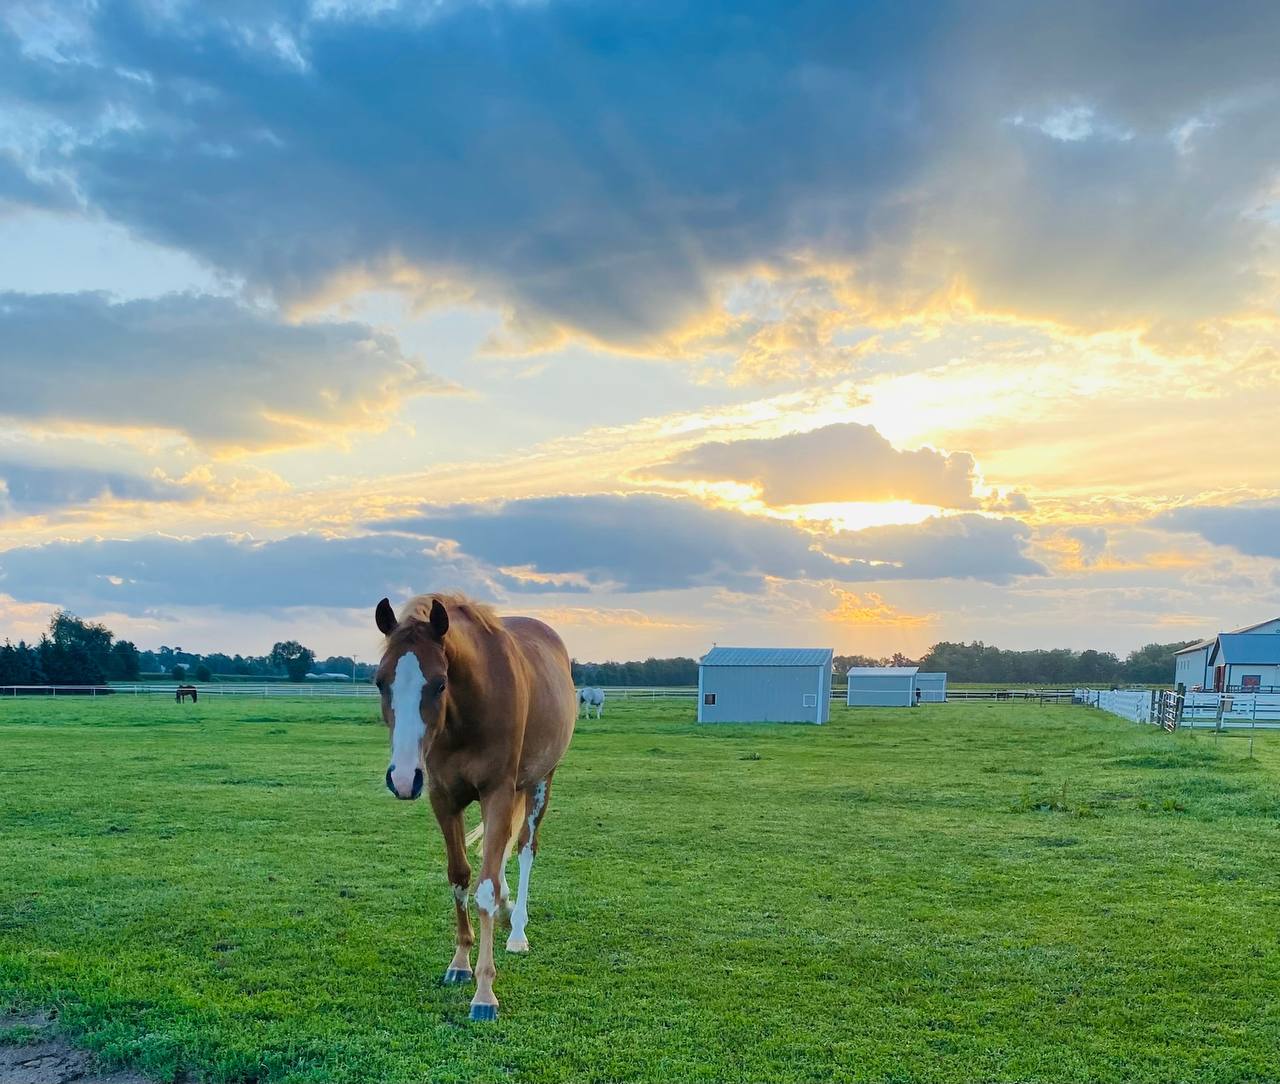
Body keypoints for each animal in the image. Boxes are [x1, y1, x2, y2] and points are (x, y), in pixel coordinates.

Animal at [374, 593, 577, 1022]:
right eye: (381, 681)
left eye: (440, 683)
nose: (403, 778)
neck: (466, 714)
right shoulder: (442, 798)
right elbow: (460, 876)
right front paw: (460, 963)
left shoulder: (497, 793)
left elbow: (484, 887)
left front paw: (485, 991)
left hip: (539, 782)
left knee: (525, 850)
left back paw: (517, 931)